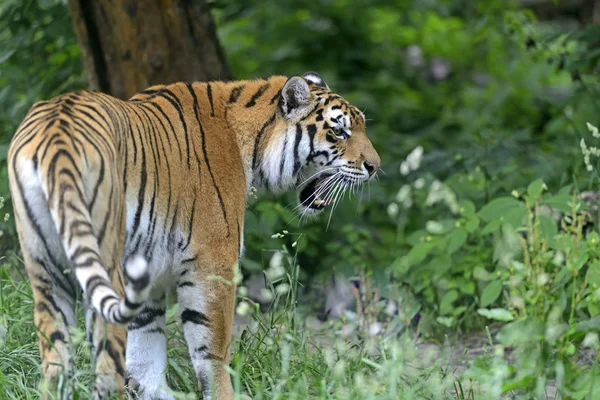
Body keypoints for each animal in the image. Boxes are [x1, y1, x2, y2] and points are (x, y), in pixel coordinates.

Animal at [7, 70, 380, 398]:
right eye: (339, 132)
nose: (375, 167)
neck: (251, 143)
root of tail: (56, 132)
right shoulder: (213, 261)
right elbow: (213, 350)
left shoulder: (147, 275)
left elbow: (145, 359)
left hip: (46, 275)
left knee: (55, 367)